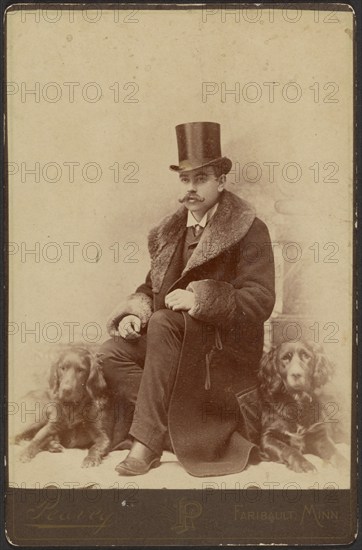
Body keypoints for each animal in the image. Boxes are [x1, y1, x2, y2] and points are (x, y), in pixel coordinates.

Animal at [258, 340, 348, 474]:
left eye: (306, 356)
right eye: (285, 358)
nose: (296, 374)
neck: (297, 404)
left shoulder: (320, 434)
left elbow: (334, 451)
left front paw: (345, 466)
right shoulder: (267, 436)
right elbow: (287, 449)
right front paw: (304, 464)